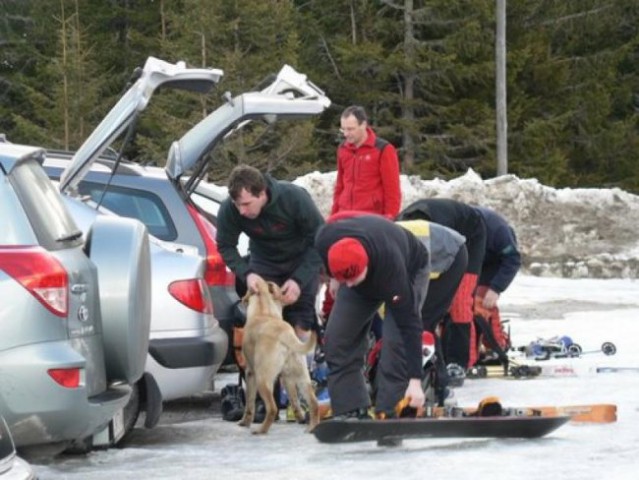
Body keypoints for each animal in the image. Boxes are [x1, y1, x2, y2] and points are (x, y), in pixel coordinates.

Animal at [239, 274, 318, 436]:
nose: (241, 299)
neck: (264, 311)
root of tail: (285, 333)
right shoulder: (286, 377)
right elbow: (294, 399)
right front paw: (299, 417)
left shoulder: (250, 373)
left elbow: (249, 403)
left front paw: (245, 422)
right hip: (302, 377)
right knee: (314, 403)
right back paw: (311, 427)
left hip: (262, 379)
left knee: (272, 408)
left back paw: (261, 430)